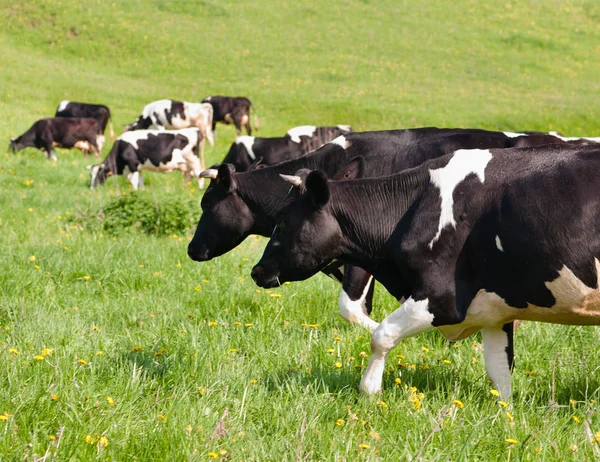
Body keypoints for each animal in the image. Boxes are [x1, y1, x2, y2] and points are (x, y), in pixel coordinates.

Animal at [250, 144, 600, 398]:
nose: (256, 271)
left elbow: (381, 335)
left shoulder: (441, 298)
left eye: (283, 220)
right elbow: (499, 373)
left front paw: (369, 392)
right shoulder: (493, 311)